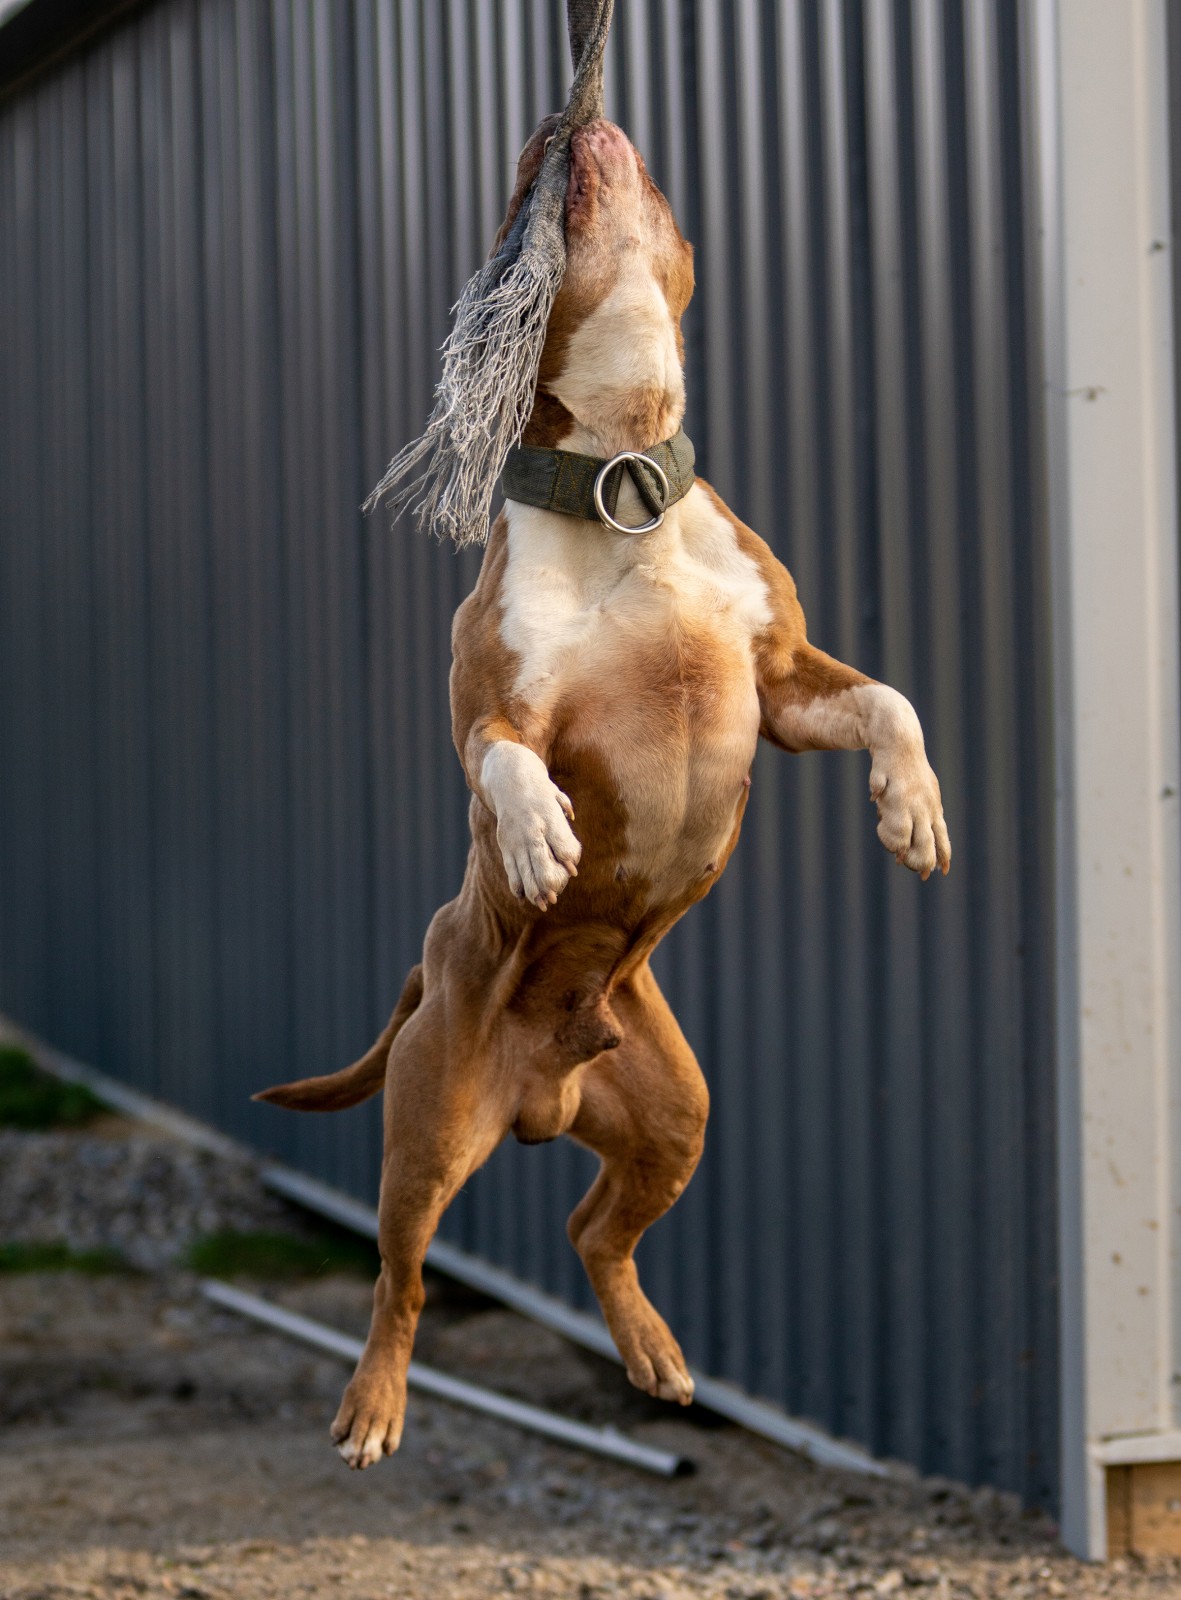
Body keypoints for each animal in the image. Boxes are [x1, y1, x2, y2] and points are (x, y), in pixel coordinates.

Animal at [257, 118, 947, 1465]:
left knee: (594, 1231)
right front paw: (533, 838)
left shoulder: (783, 682)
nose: (561, 124)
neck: (618, 476)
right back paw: (372, 1405)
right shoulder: (494, 701)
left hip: (673, 1115)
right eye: (514, 192)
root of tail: (540, 1094)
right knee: (400, 1278)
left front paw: (912, 806)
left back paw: (652, 1350)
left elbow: (888, 698)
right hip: (425, 1129)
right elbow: (504, 758)